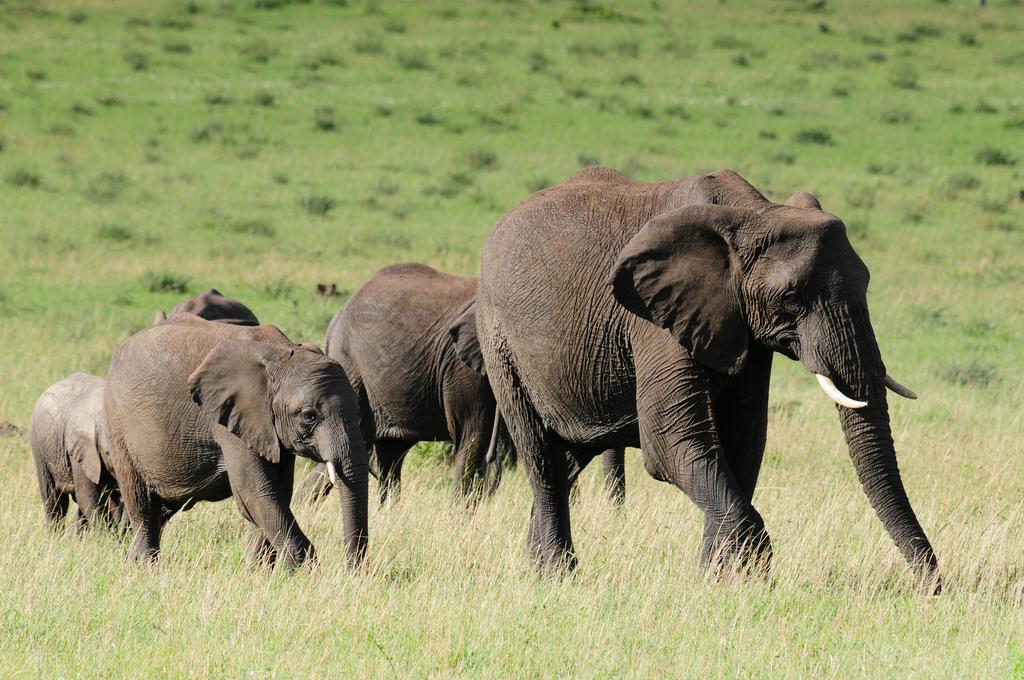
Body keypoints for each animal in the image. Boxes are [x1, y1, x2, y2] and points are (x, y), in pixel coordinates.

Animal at [29, 372, 120, 532]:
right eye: (108, 453)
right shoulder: (81, 447)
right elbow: (87, 496)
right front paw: (106, 536)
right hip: (40, 447)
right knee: (54, 500)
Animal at [102, 313, 368, 569]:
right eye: (309, 416)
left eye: (358, 411)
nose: (352, 571)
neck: (281, 353)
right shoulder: (228, 419)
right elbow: (257, 490)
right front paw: (302, 572)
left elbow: (276, 491)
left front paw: (258, 571)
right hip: (118, 426)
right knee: (143, 505)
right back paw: (143, 568)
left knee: (162, 509)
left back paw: (131, 564)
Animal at [468, 166, 937, 593]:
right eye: (791, 298)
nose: (932, 588)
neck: (754, 214)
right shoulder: (653, 319)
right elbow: (674, 445)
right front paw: (752, 578)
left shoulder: (743, 329)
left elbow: (741, 445)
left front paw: (715, 582)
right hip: (499, 340)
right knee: (542, 458)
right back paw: (557, 577)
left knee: (567, 462)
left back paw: (535, 569)